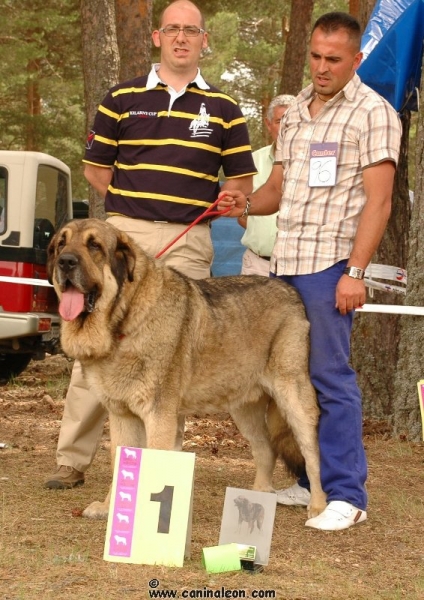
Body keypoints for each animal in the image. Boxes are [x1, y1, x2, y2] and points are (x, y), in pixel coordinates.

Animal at [46, 219, 326, 520]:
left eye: (94, 245)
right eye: (61, 243)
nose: (65, 262)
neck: (124, 319)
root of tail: (290, 292)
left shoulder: (159, 417)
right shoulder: (121, 416)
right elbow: (118, 465)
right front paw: (111, 507)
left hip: (293, 400)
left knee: (312, 455)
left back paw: (318, 506)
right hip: (244, 409)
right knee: (266, 451)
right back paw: (259, 497)